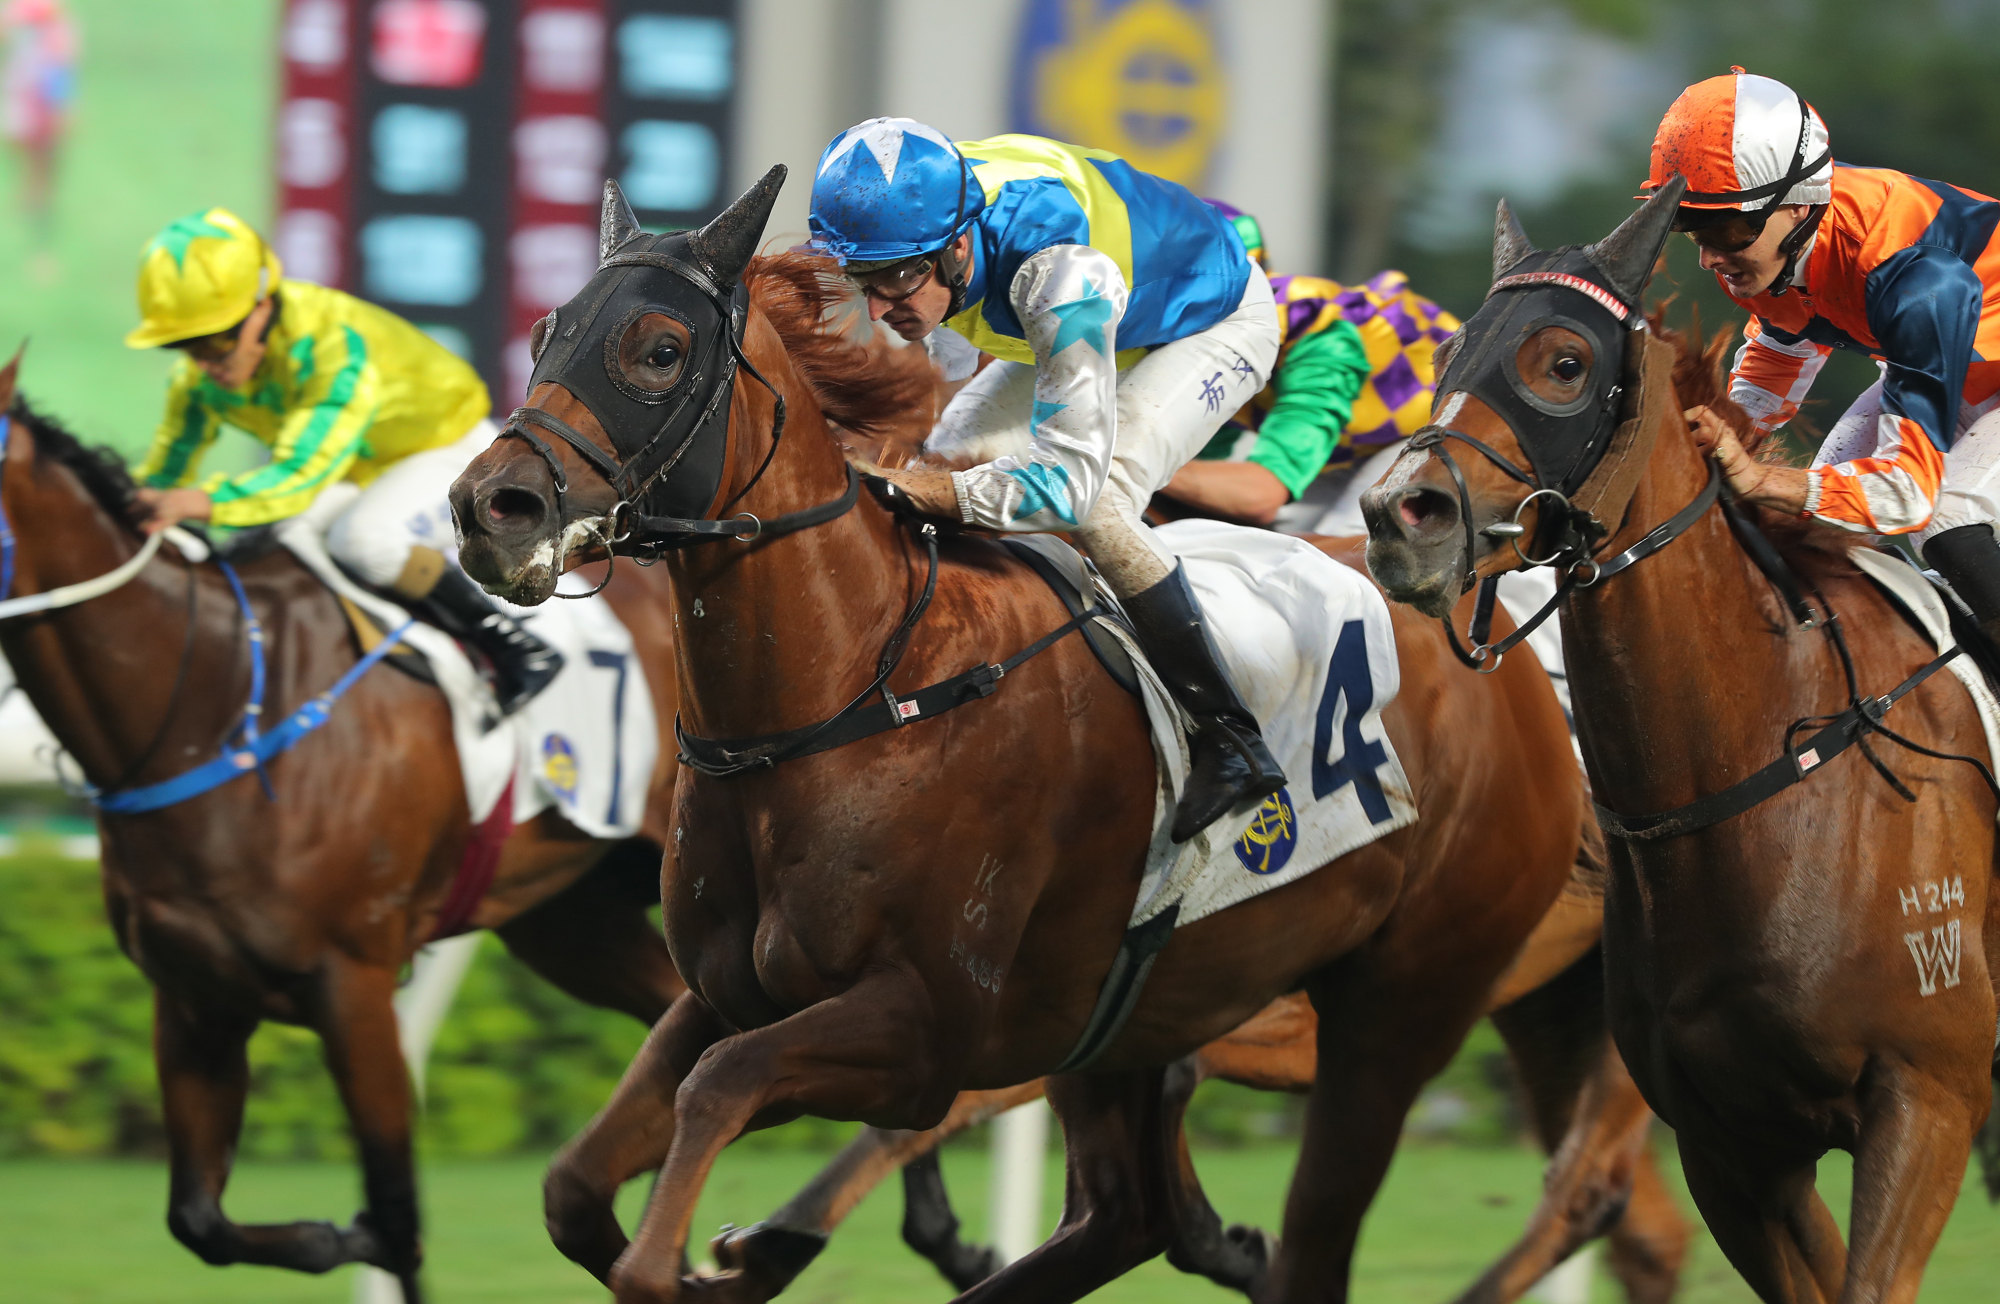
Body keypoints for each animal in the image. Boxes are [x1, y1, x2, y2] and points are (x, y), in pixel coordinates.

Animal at [0, 354, 688, 1304]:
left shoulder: (353, 987)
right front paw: (330, 1236)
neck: (214, 700)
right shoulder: (195, 1001)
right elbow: (199, 1219)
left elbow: (397, 1216)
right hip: (569, 922)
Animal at [450, 173, 1592, 1304]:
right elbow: (576, 1184)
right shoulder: (727, 995)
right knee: (1122, 1217)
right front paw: (732, 1257)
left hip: (1402, 999)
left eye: (658, 349)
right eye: (547, 332)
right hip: (1135, 1012)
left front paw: (715, 1257)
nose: (491, 506)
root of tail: (1489, 640)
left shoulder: (926, 1029)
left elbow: (714, 1101)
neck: (855, 693)